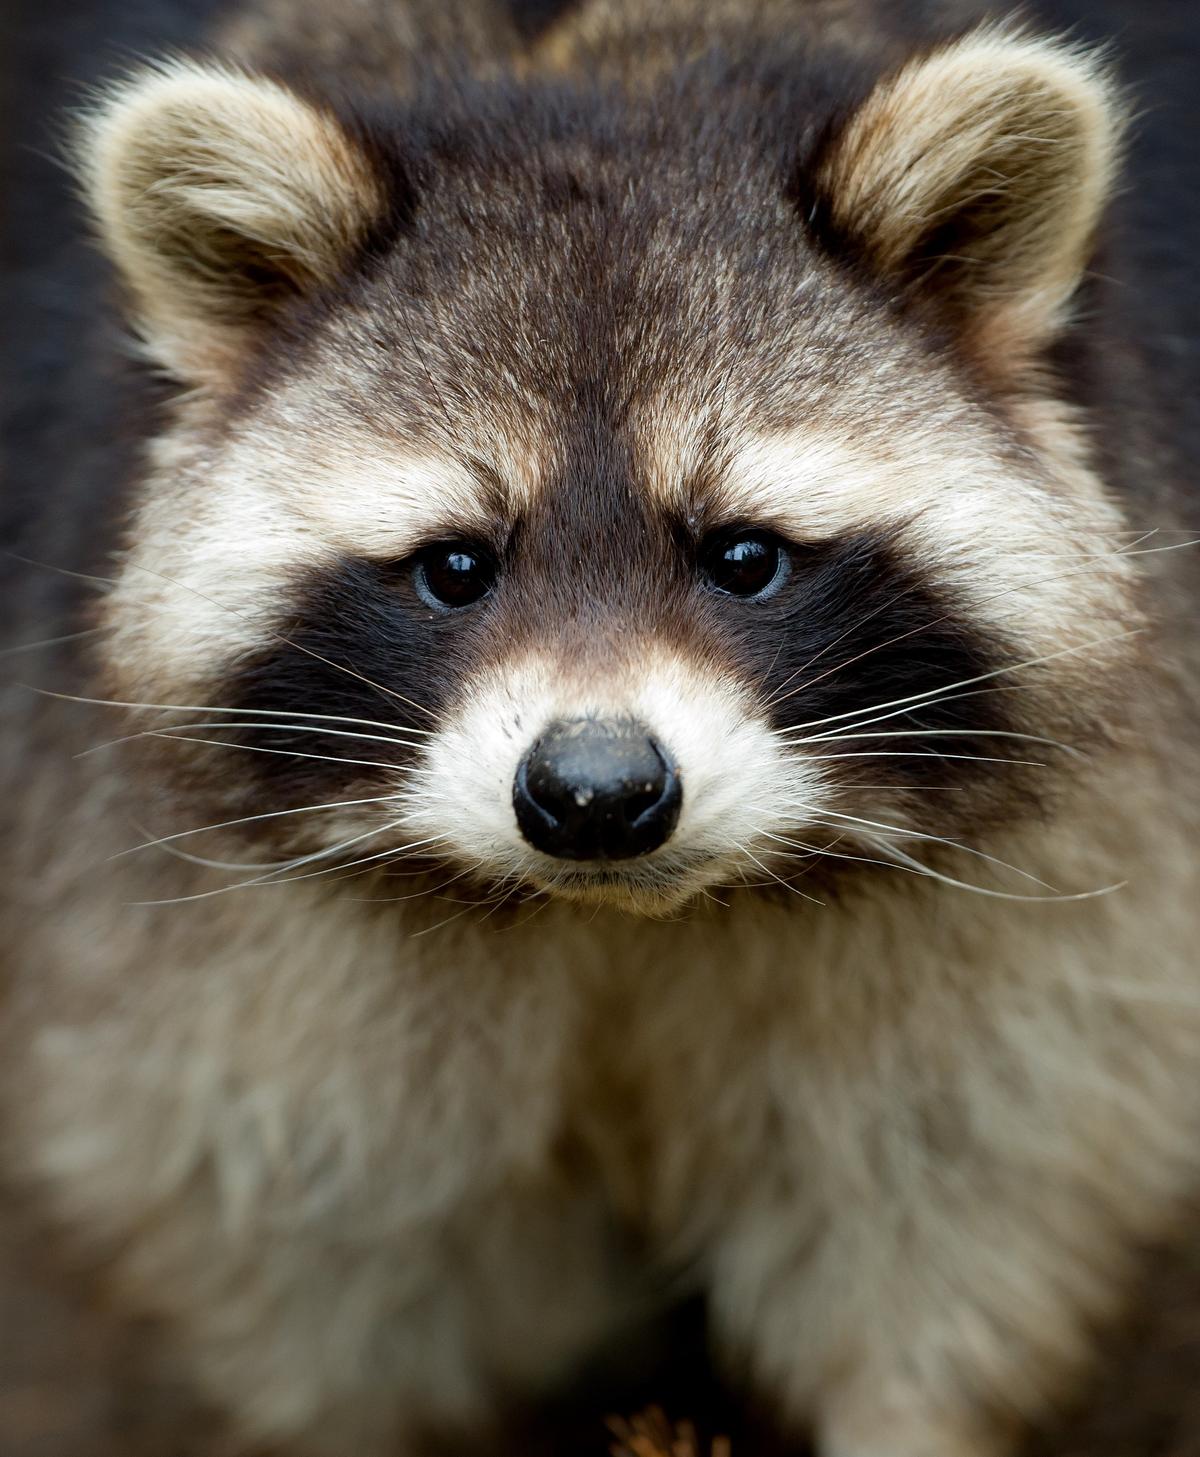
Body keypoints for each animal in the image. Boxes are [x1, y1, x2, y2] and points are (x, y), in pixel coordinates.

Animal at [2, 0, 1199, 1454]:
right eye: (456, 568)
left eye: (744, 556)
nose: (595, 792)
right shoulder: (208, 981)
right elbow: (307, 1274)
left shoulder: (1048, 936)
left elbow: (953, 1220)